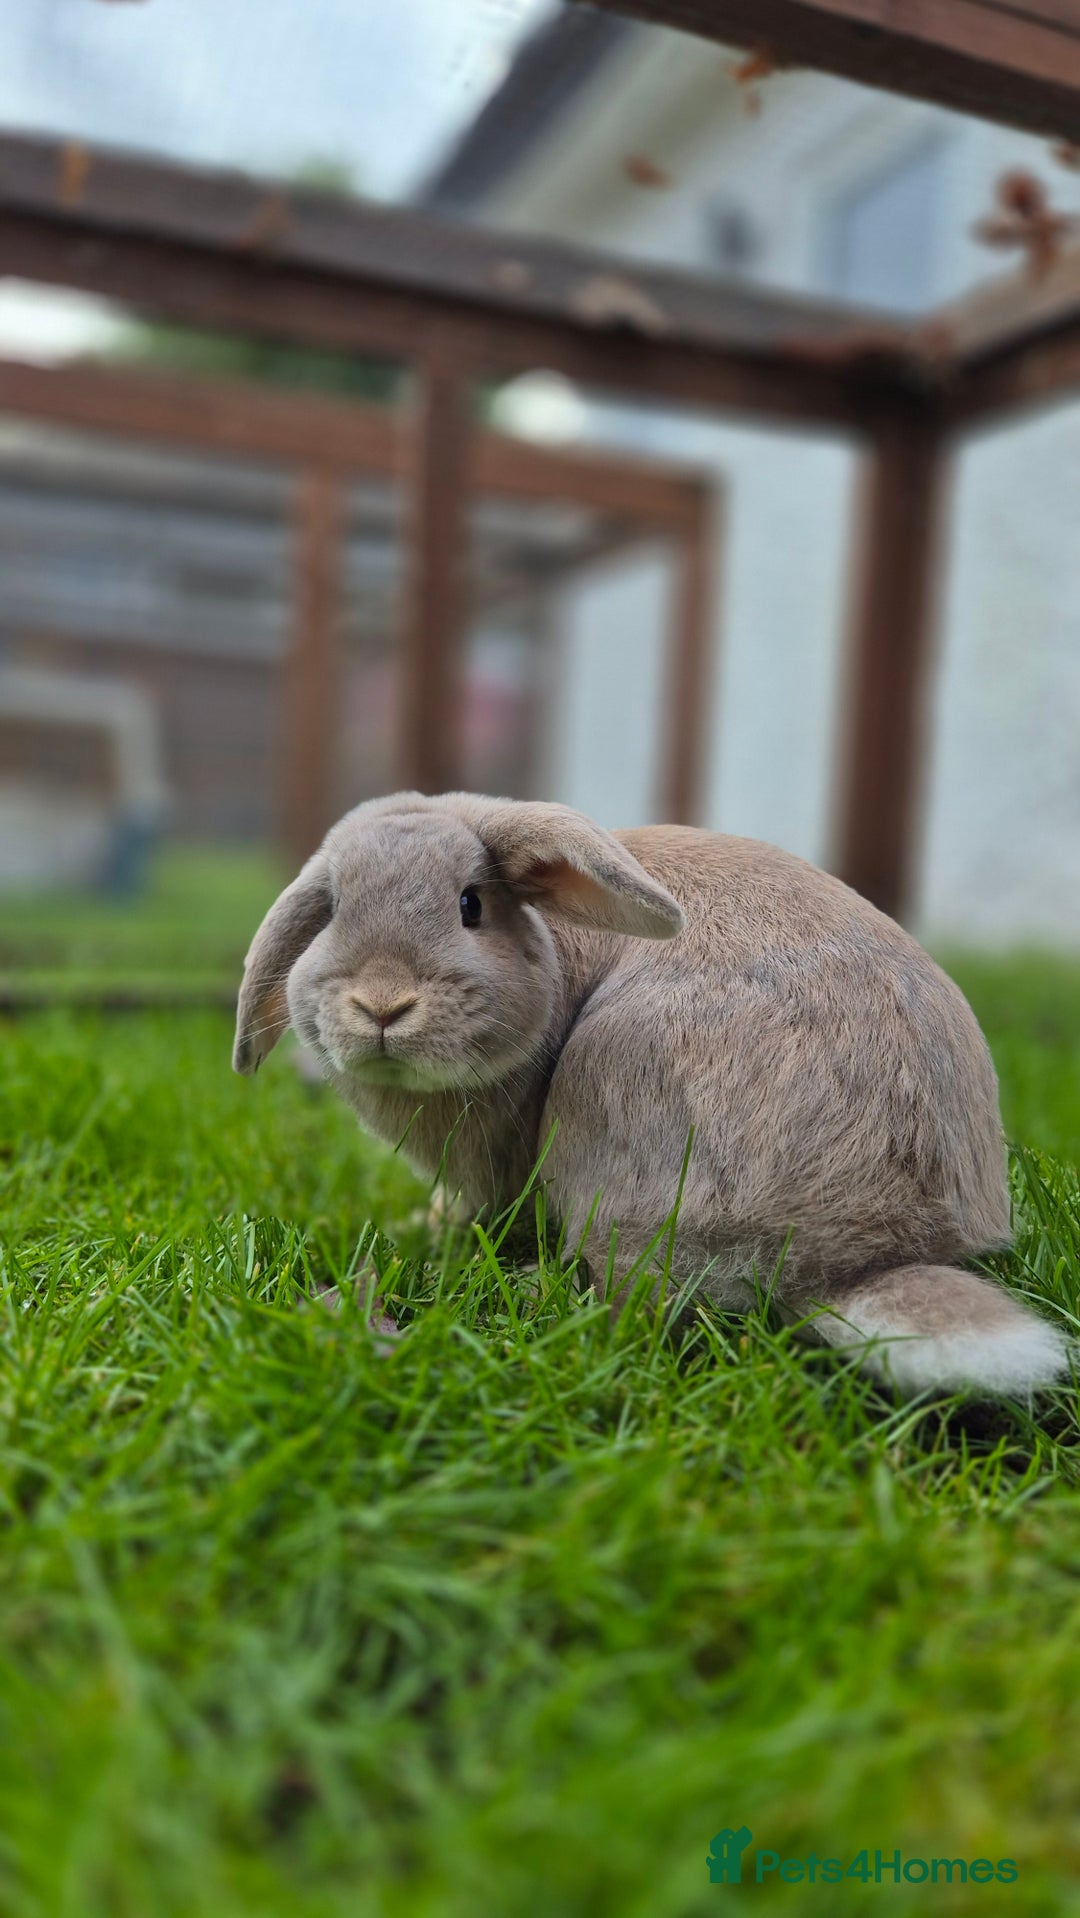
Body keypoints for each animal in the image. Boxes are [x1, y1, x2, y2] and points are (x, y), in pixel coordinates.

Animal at [233, 790, 1069, 1397]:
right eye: (332, 911)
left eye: (471, 904)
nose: (382, 1005)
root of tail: (864, 1256)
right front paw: (419, 1226)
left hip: (612, 1126)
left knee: (631, 1302)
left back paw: (527, 1294)